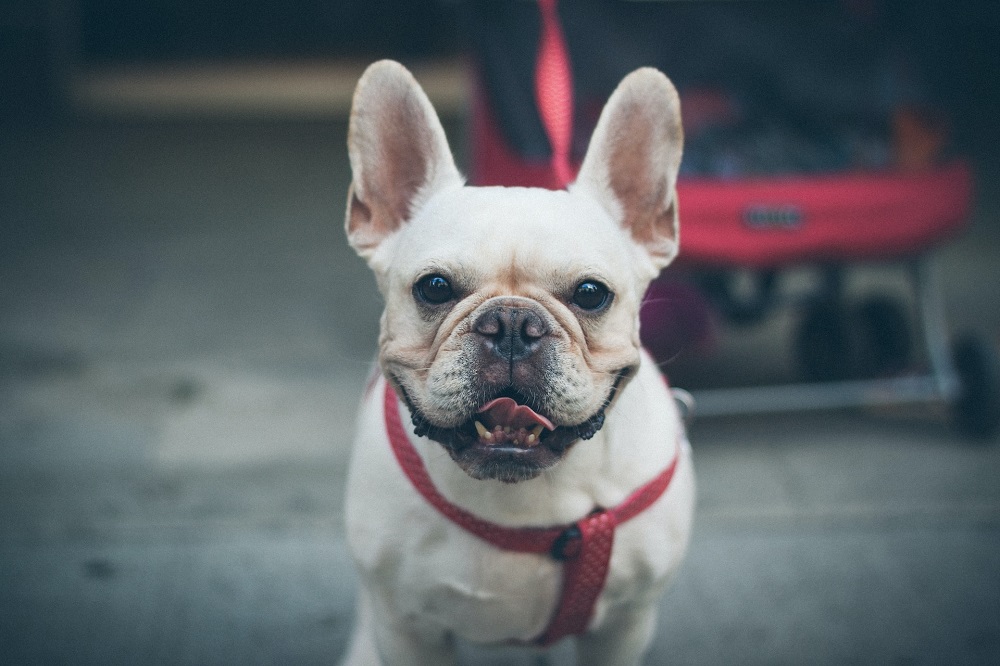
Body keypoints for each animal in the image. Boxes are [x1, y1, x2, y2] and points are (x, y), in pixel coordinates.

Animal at [340, 59, 692, 660]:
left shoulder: (625, 626)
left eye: (591, 294)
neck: (529, 496)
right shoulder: (406, 628)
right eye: (434, 287)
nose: (510, 325)